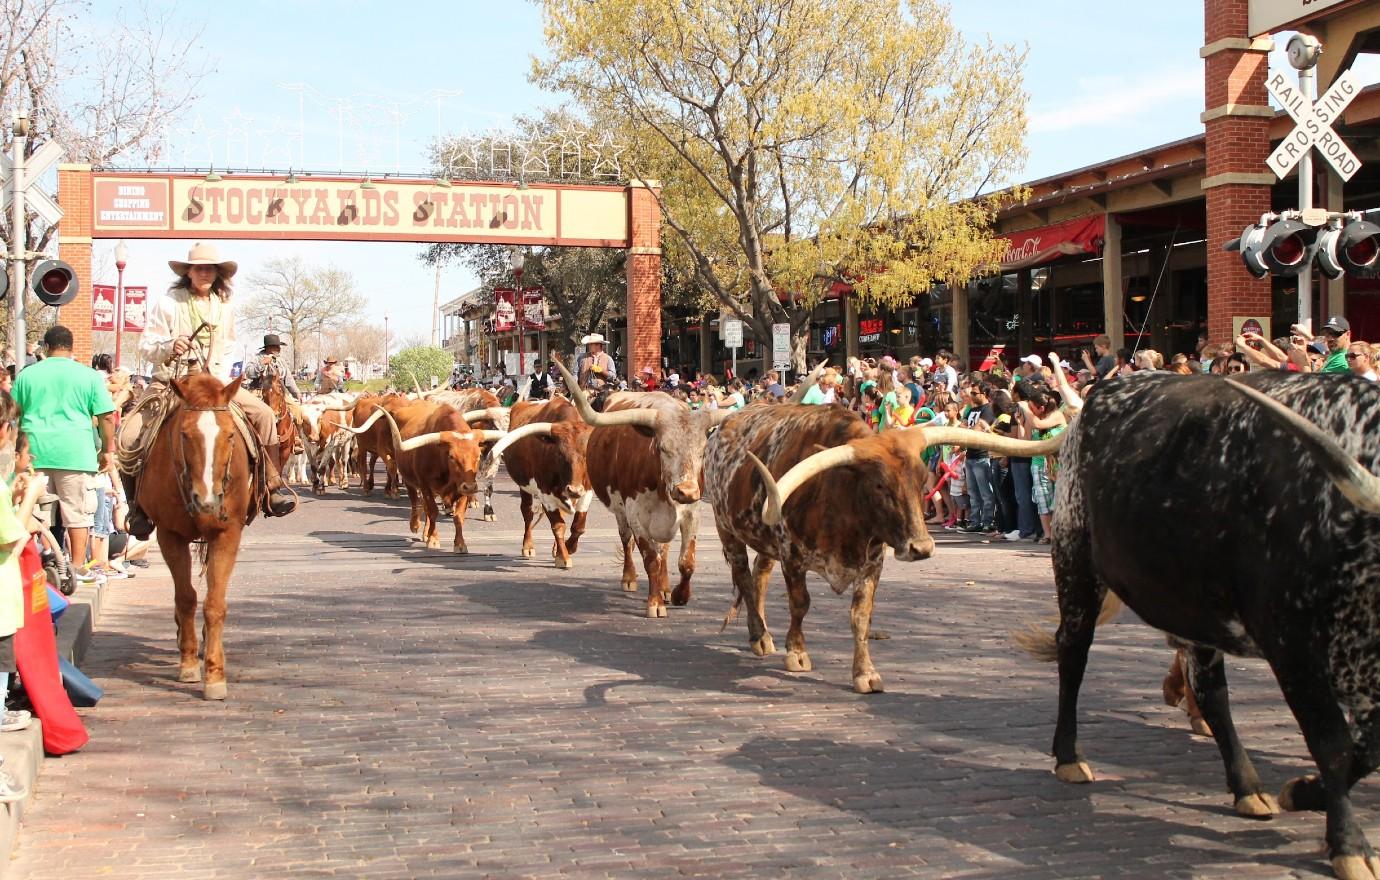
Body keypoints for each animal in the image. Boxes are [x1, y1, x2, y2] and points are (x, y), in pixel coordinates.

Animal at [140, 372, 253, 703]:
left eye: (229, 435)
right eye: (185, 435)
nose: (207, 500)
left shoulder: (227, 534)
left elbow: (214, 604)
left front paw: (215, 674)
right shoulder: (169, 535)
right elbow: (186, 597)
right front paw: (189, 662)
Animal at [1015, 372, 1380, 880]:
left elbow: (1367, 751)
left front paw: (1303, 792)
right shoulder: (1293, 647)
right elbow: (1334, 745)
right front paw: (1349, 846)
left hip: (1193, 605)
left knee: (1210, 691)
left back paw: (1247, 787)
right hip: (1074, 557)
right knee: (1073, 654)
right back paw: (1070, 757)